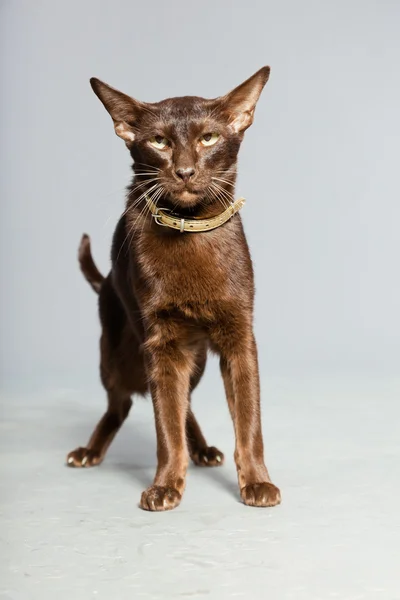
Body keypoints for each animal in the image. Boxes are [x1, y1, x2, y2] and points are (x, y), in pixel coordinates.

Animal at [67, 69, 282, 510]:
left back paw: (202, 449)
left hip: (195, 357)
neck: (189, 228)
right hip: (116, 352)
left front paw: (257, 483)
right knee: (122, 403)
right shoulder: (161, 343)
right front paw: (165, 486)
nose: (184, 171)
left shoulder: (239, 336)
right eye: (159, 142)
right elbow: (165, 425)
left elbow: (248, 421)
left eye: (209, 138)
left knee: (186, 405)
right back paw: (90, 450)